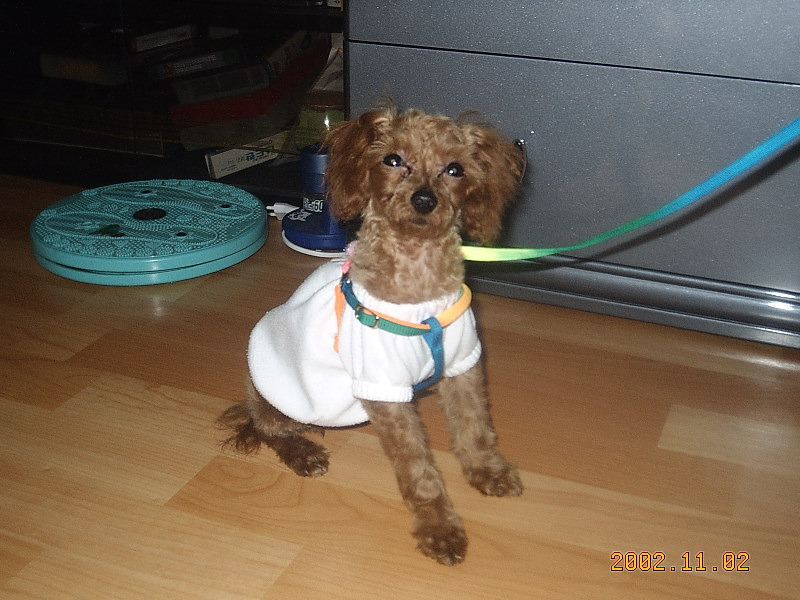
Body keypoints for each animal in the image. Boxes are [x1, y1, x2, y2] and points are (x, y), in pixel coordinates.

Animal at [219, 106, 525, 565]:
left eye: (454, 169)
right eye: (393, 160)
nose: (424, 199)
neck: (418, 288)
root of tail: (252, 398)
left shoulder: (463, 364)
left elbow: (474, 428)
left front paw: (487, 471)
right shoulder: (385, 389)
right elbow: (419, 470)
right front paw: (439, 527)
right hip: (279, 398)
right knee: (269, 428)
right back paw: (303, 453)